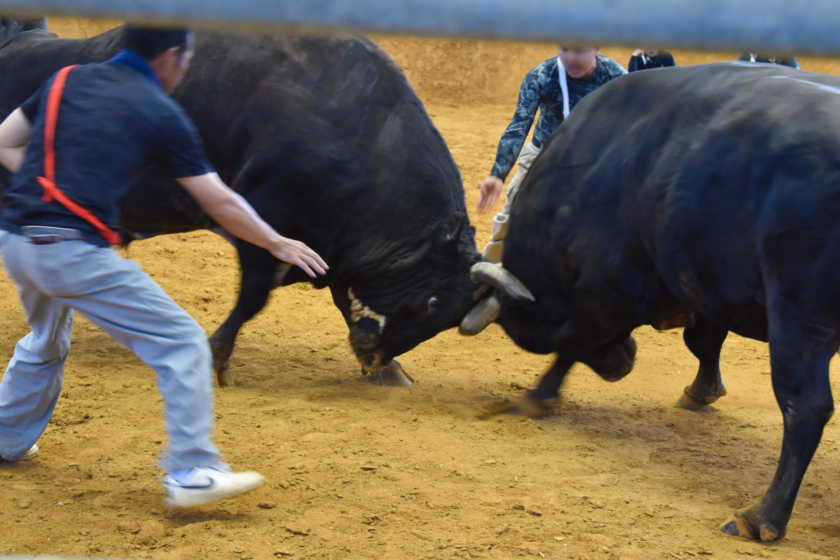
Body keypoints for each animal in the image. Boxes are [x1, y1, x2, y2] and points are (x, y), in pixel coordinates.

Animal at [462, 62, 836, 544]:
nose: (622, 364)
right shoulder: (699, 283)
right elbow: (703, 341)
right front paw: (701, 391)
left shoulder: (606, 285)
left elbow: (574, 343)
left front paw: (537, 395)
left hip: (799, 321)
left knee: (804, 408)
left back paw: (761, 517)